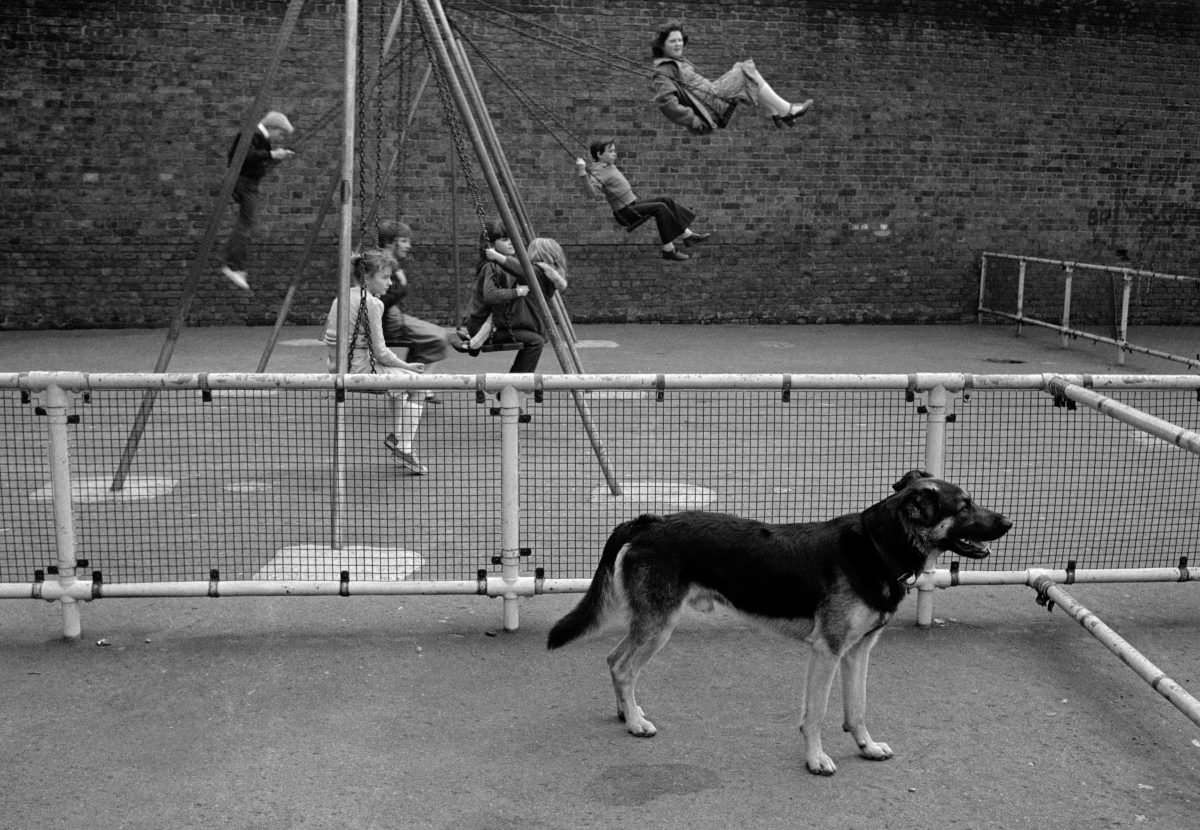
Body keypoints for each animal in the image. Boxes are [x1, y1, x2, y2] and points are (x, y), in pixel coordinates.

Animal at [547, 470, 1012, 777]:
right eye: (965, 505)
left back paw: (628, 712)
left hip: (651, 624)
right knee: (623, 666)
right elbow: (817, 713)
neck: (878, 547)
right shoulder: (826, 652)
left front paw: (865, 746)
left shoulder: (857, 652)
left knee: (614, 661)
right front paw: (816, 759)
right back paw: (635, 723)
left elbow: (857, 708)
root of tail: (650, 521)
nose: (1009, 522)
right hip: (659, 625)